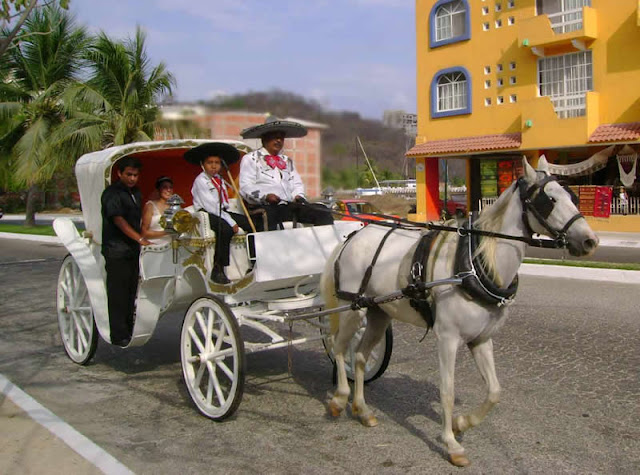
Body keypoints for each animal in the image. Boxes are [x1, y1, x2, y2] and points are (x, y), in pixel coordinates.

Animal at [322, 157, 596, 468]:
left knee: (359, 356)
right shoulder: (448, 339)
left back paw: (362, 409)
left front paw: (462, 423)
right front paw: (451, 443)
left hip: (379, 312)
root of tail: (351, 237)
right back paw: (339, 399)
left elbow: (494, 391)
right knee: (339, 347)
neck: (475, 264)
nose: (590, 241)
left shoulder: (481, 339)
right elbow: (448, 390)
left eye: (573, 197)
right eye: (549, 199)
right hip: (352, 310)